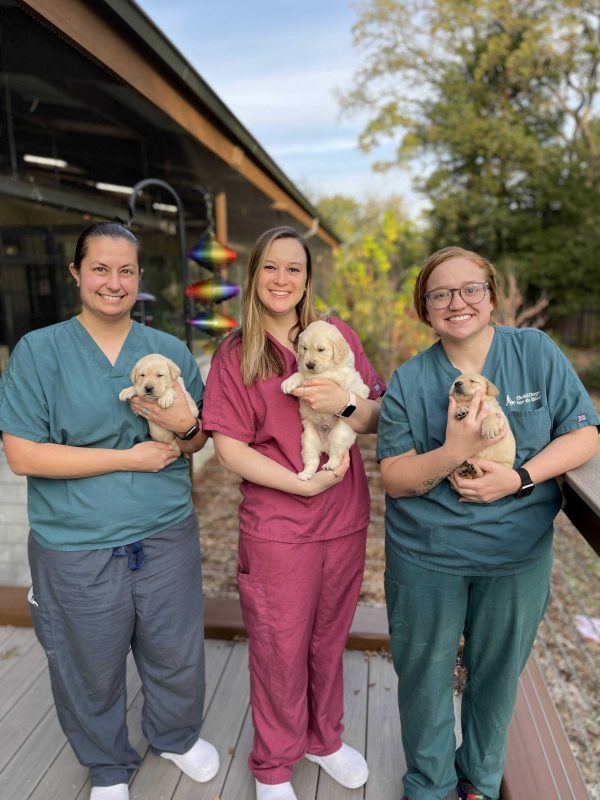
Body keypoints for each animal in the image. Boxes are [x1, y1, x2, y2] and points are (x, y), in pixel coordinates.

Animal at [282, 320, 370, 482]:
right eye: (304, 348)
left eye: (321, 349)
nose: (309, 364)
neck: (331, 365)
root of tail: (324, 445)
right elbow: (303, 371)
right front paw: (291, 380)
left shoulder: (336, 376)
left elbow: (307, 375)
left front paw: (292, 380)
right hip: (308, 441)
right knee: (312, 461)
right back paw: (305, 474)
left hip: (339, 435)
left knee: (336, 454)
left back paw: (330, 465)